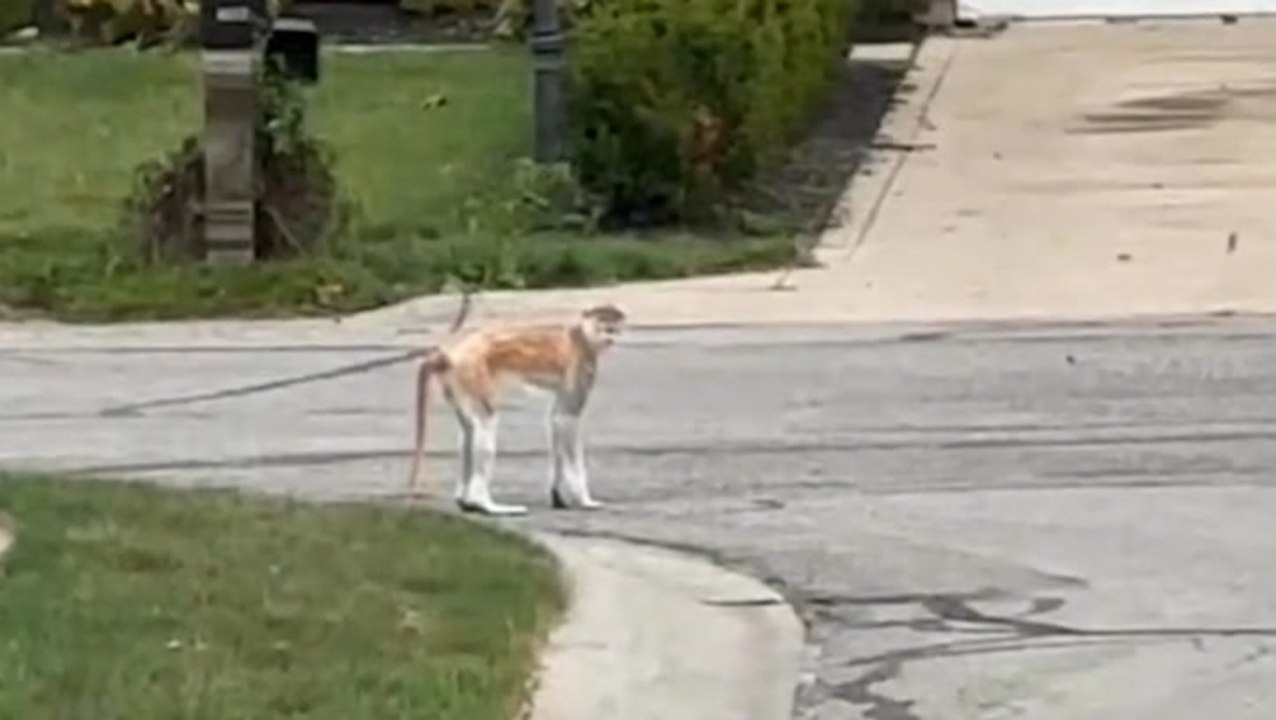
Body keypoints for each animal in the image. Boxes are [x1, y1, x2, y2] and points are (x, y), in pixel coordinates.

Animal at [405, 303, 627, 516]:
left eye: (614, 325)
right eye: (602, 322)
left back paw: (465, 502)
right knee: (487, 423)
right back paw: (484, 504)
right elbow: (567, 418)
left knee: (469, 429)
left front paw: (558, 496)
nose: (610, 334)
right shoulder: (581, 365)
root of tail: (452, 355)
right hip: (473, 372)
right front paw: (584, 500)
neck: (581, 337)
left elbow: (557, 418)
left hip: (458, 381)